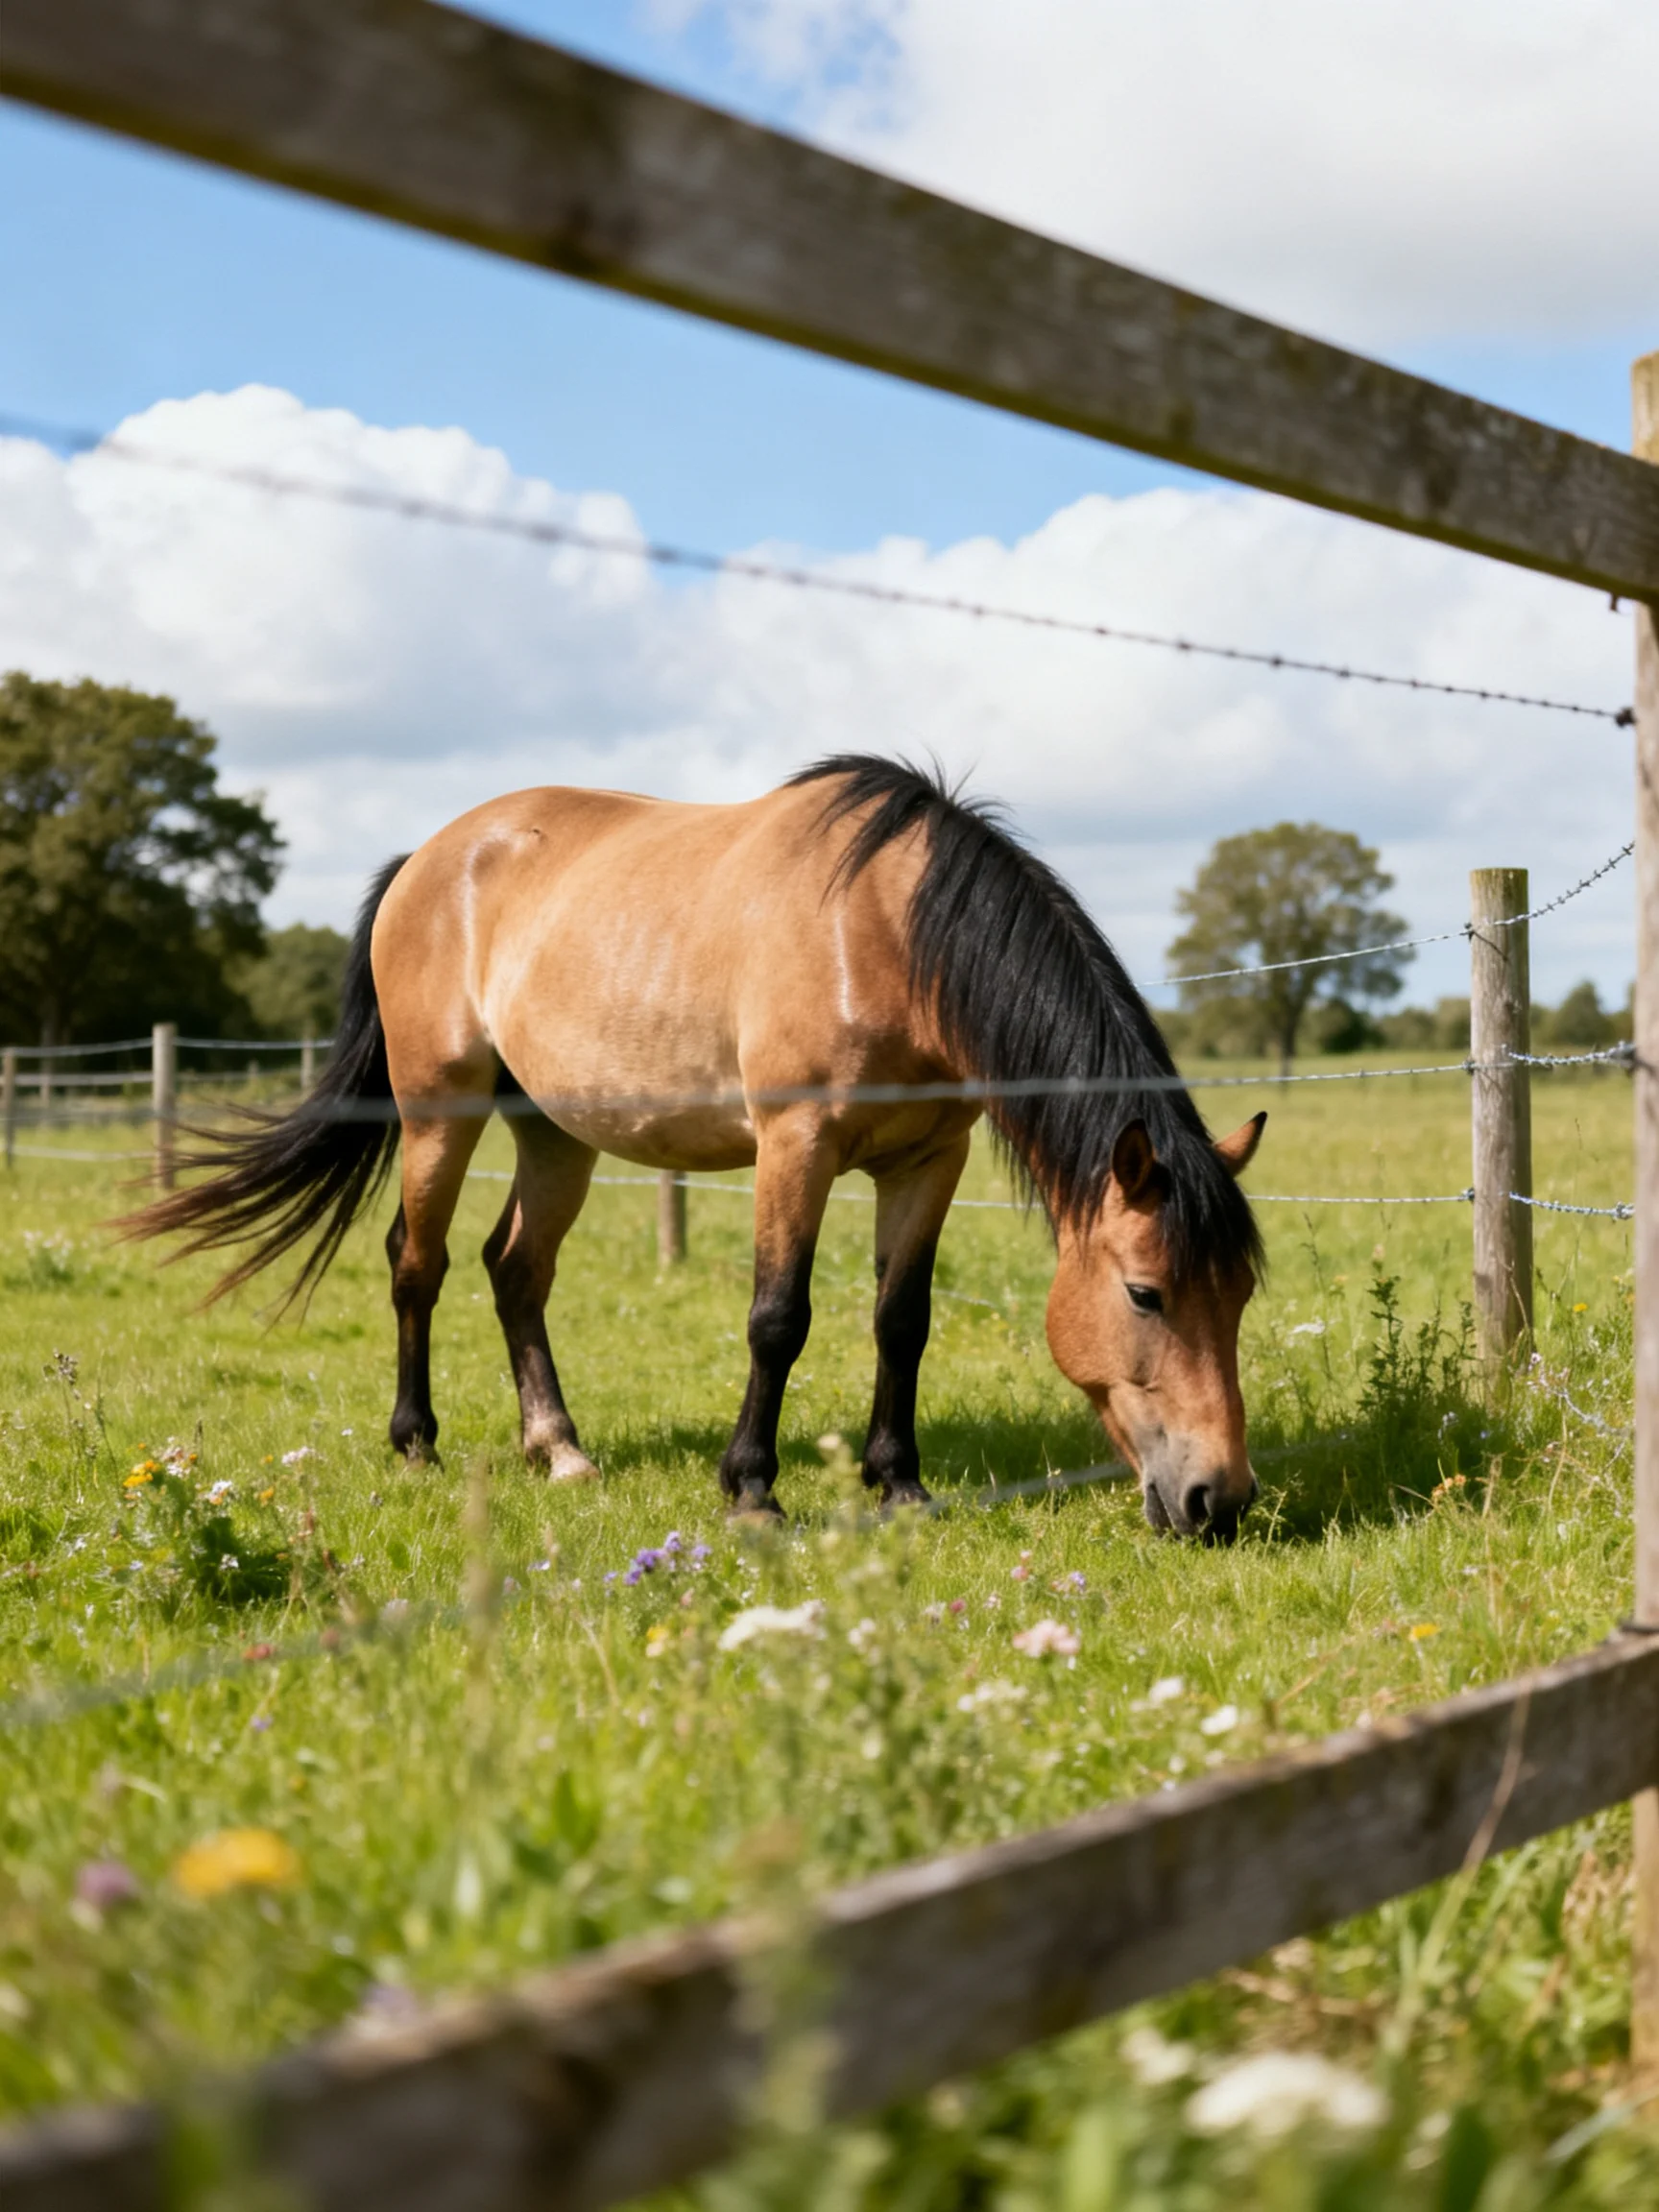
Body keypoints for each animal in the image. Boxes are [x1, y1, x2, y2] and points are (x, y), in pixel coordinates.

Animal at [126, 756, 1266, 1537]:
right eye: (1145, 1294)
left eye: (1243, 1295)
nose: (1218, 1499)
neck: (887, 935)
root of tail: (430, 859)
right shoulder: (797, 1145)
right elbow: (778, 1319)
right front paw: (752, 1489)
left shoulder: (927, 1161)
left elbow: (902, 1322)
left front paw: (897, 1481)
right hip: (436, 1110)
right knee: (420, 1264)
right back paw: (418, 1445)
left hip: (555, 1132)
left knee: (515, 1269)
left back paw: (560, 1450)